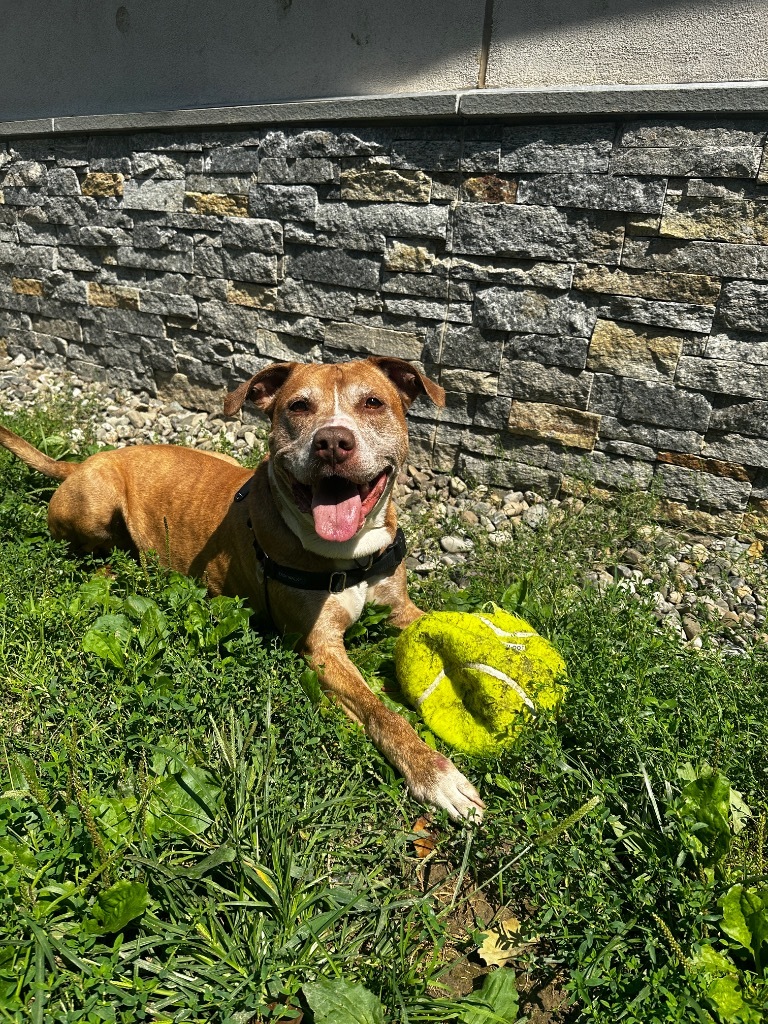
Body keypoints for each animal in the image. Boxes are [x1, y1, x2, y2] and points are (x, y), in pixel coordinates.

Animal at [1, 356, 487, 819]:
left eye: (373, 402)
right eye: (299, 407)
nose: (332, 441)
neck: (352, 552)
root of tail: (84, 461)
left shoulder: (400, 608)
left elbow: (450, 625)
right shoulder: (322, 649)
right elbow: (380, 712)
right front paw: (436, 775)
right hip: (96, 504)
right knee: (87, 552)